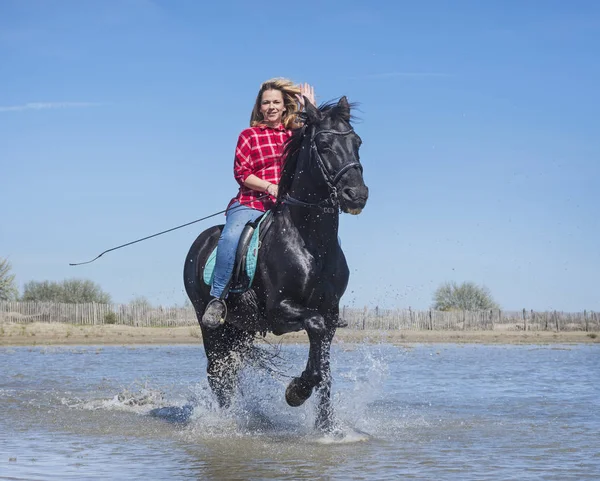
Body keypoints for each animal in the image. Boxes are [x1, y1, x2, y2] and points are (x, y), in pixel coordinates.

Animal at [185, 96, 368, 428]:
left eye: (357, 142)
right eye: (323, 144)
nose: (357, 194)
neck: (312, 244)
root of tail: (201, 241)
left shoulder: (330, 313)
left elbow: (325, 369)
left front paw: (326, 426)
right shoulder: (280, 310)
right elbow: (315, 328)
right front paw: (296, 391)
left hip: (241, 329)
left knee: (230, 372)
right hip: (212, 327)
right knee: (218, 374)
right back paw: (225, 422)